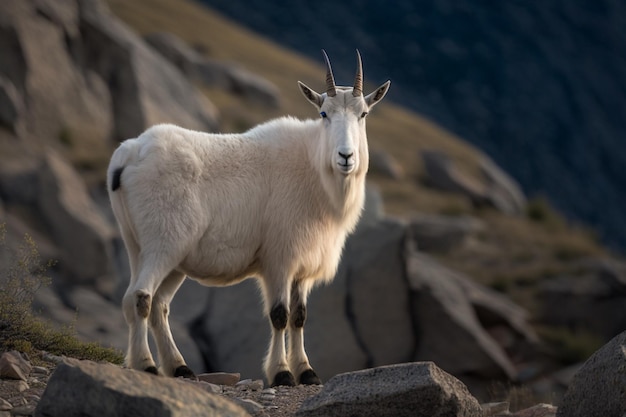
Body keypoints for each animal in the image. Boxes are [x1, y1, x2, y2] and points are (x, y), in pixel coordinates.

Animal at [108, 50, 390, 386]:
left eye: (364, 114)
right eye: (324, 113)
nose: (345, 157)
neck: (314, 168)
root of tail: (128, 153)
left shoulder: (301, 266)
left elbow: (299, 316)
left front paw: (307, 372)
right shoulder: (280, 258)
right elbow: (280, 315)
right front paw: (282, 373)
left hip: (149, 250)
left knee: (156, 305)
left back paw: (179, 367)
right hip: (162, 243)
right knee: (141, 297)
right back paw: (148, 364)